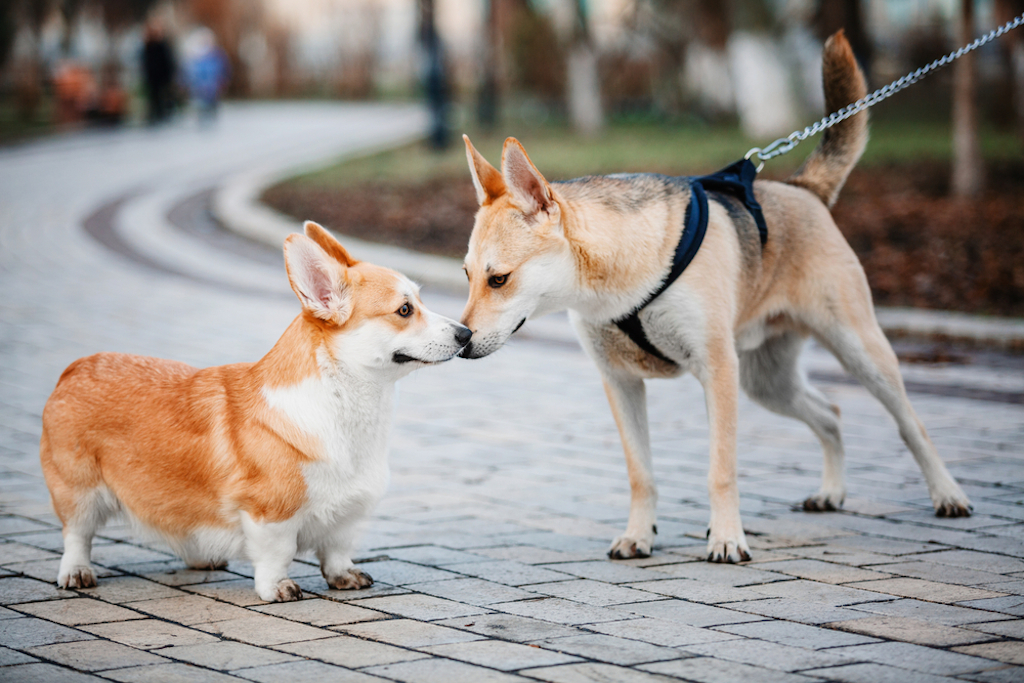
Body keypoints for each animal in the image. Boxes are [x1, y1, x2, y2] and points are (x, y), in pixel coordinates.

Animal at [39, 222, 471, 602]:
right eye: (405, 310)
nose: (466, 334)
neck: (342, 400)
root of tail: (76, 367)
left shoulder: (346, 516)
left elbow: (336, 550)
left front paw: (344, 576)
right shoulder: (270, 513)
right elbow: (277, 553)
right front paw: (277, 589)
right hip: (78, 490)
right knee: (76, 534)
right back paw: (76, 572)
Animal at [460, 31, 970, 565]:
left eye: (499, 279)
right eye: (467, 275)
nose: (462, 339)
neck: (615, 278)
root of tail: (802, 188)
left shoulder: (717, 370)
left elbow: (720, 469)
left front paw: (726, 537)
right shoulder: (620, 382)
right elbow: (640, 473)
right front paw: (639, 534)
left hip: (859, 352)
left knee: (910, 425)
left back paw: (947, 494)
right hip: (768, 382)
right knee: (830, 415)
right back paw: (832, 491)